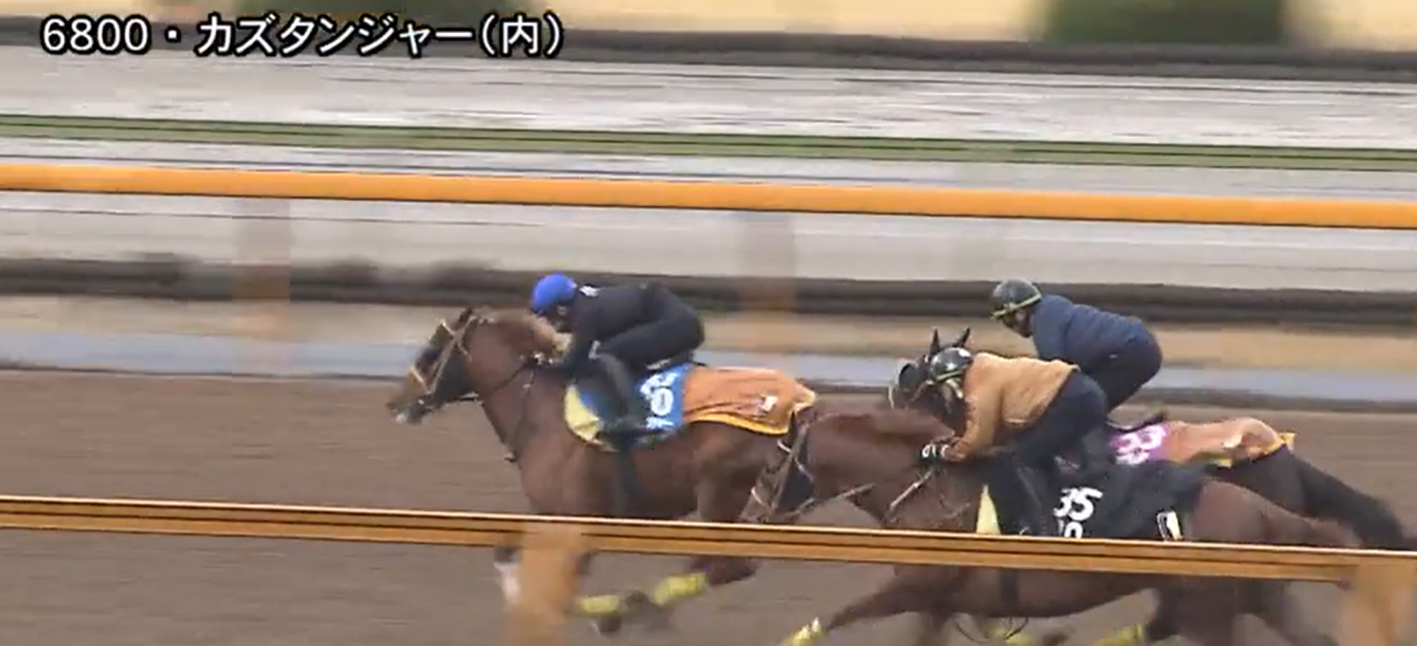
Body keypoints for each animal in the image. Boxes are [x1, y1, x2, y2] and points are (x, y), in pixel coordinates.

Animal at [382, 305, 823, 635]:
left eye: (431, 351)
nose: (395, 402)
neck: (542, 413)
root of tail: (796, 403)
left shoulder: (581, 521)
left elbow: (560, 591)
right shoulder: (549, 512)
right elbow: (507, 553)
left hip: (722, 494)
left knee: (730, 565)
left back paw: (634, 609)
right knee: (716, 564)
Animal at [739, 407, 1359, 646]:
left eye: (770, 467)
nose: (748, 518)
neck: (928, 492)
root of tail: (1267, 511)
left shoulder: (917, 584)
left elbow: (838, 615)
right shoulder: (944, 603)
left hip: (1207, 610)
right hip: (1246, 597)